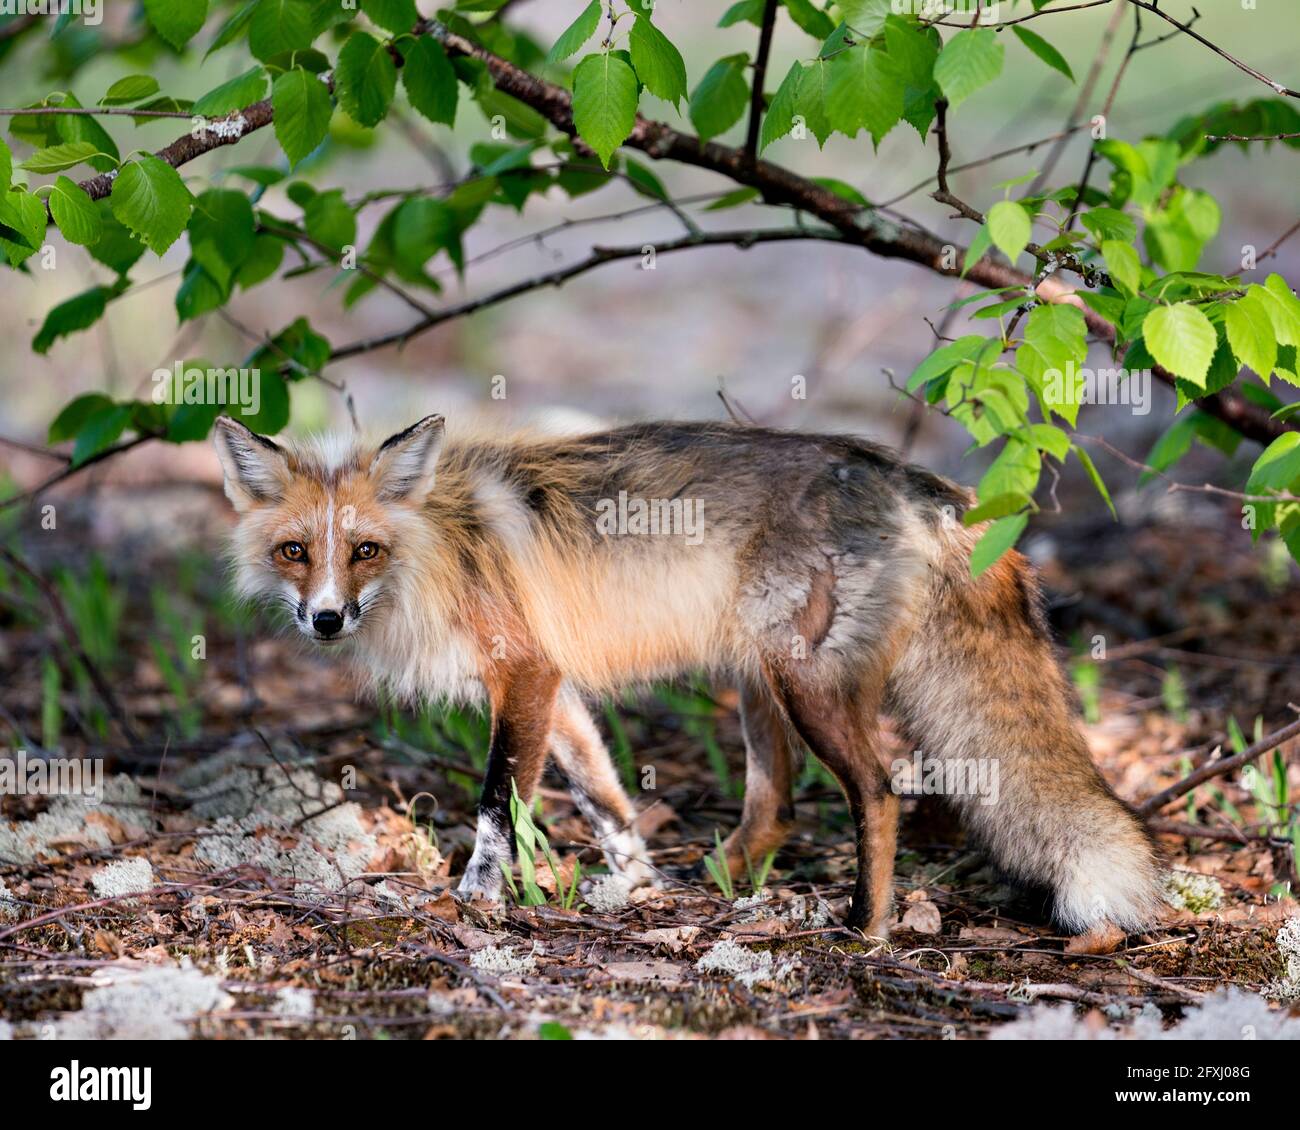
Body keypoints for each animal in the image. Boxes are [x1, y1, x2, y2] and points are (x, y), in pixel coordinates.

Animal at [213, 412, 1165, 950]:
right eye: (295, 552)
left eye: (363, 550)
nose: (325, 619)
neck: (440, 549)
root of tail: (914, 479)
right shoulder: (555, 687)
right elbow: (604, 800)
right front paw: (633, 888)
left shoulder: (522, 671)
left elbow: (494, 807)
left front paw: (475, 902)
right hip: (759, 680)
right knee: (776, 809)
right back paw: (718, 886)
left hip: (802, 682)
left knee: (879, 791)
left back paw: (865, 928)